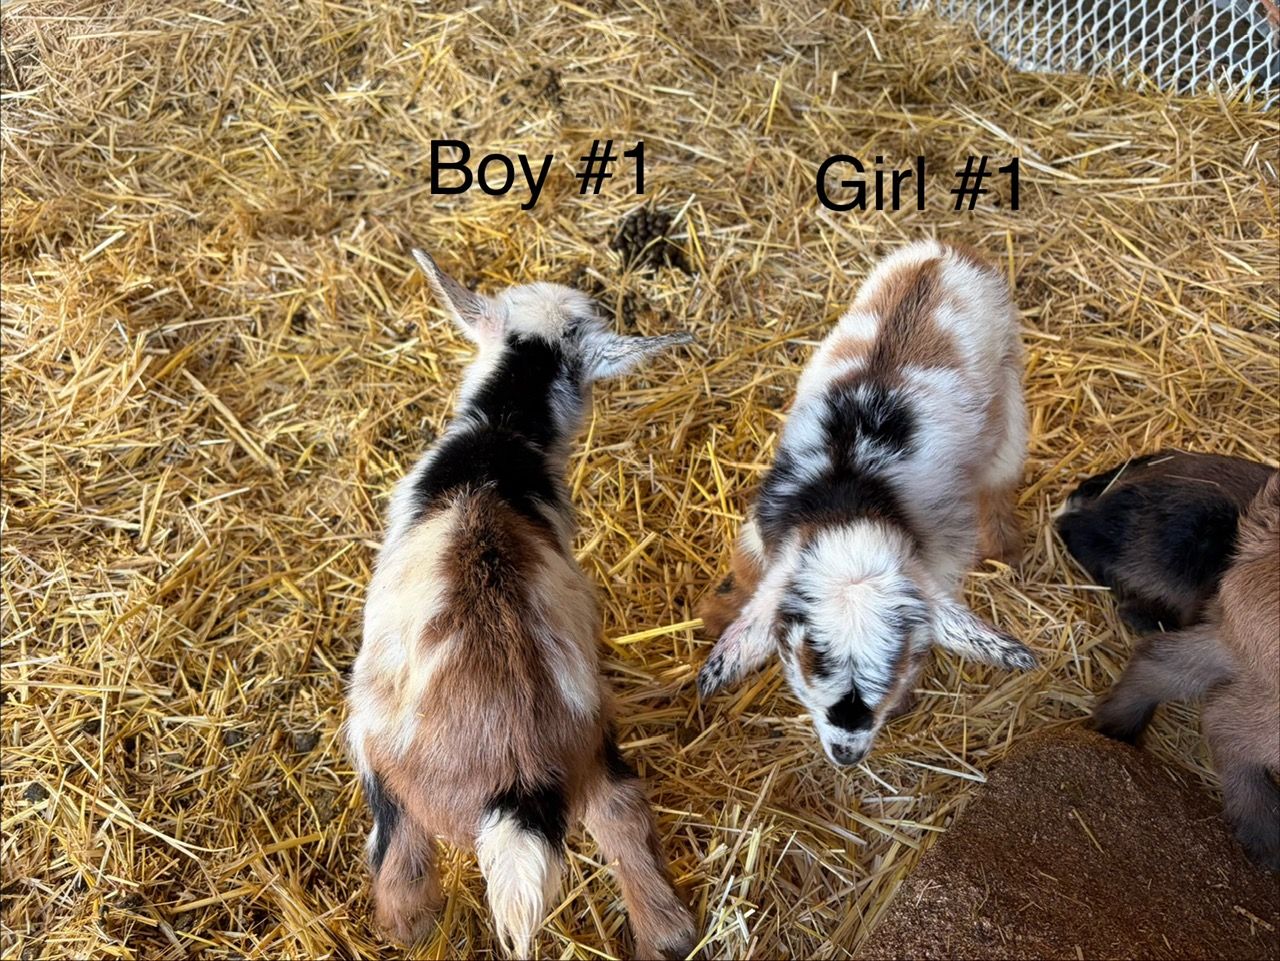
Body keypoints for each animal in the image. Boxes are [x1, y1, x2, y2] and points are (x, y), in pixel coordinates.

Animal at [345, 250, 698, 957]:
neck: (500, 432)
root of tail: (516, 774)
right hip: (593, 741)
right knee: (622, 813)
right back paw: (667, 934)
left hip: (375, 745)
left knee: (401, 871)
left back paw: (405, 932)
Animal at [697, 239, 1036, 768]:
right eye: (804, 663)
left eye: (898, 664)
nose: (845, 752)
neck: (849, 501)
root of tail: (944, 254)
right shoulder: (768, 522)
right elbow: (749, 572)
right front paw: (717, 616)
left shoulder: (937, 560)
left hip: (1009, 390)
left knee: (999, 476)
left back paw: (1007, 550)